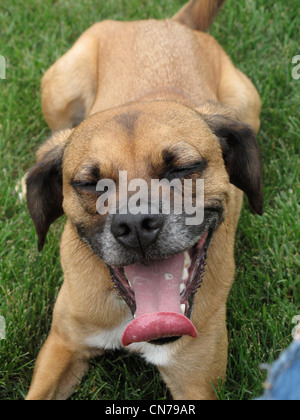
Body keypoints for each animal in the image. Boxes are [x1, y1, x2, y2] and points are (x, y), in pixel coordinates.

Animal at [24, 0, 262, 400]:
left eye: (184, 167)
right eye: (90, 183)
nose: (135, 225)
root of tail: (170, 23)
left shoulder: (196, 381)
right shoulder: (63, 344)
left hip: (247, 105)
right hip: (58, 91)